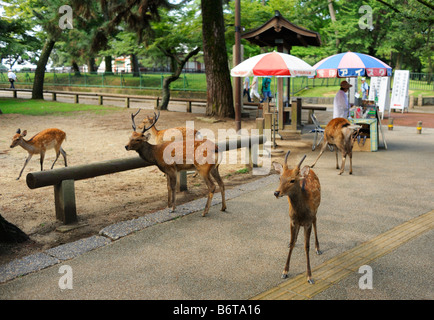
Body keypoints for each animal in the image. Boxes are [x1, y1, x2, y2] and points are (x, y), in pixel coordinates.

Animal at [272, 151, 320, 284]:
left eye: (292, 180)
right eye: (279, 177)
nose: (276, 192)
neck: (301, 213)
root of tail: (310, 171)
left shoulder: (308, 221)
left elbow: (306, 246)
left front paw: (309, 276)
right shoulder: (293, 220)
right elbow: (293, 242)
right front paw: (284, 271)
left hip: (316, 210)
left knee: (316, 221)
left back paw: (318, 248)